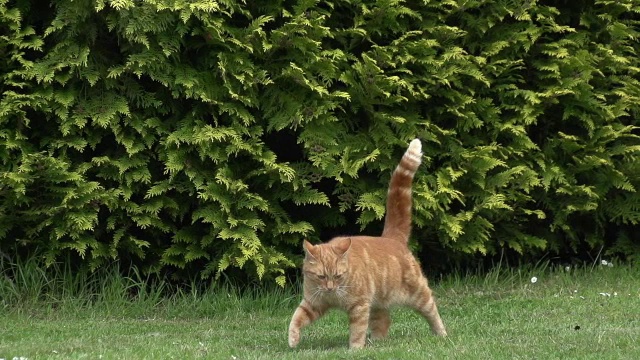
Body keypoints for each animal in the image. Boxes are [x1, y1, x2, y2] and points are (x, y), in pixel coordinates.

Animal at [288, 139, 448, 348]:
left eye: (338, 276)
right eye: (321, 276)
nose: (330, 288)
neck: (333, 295)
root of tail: (391, 238)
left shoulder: (359, 306)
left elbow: (357, 331)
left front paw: (355, 349)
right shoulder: (312, 303)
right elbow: (296, 318)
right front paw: (292, 339)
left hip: (418, 294)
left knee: (432, 310)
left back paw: (441, 334)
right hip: (379, 301)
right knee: (384, 321)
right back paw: (377, 343)